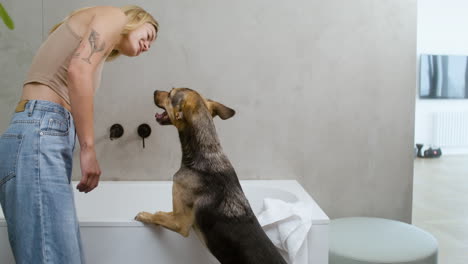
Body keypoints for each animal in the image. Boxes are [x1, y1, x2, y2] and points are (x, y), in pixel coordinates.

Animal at [133, 87, 284, 262]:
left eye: (170, 94)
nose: (155, 91)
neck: (206, 151)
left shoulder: (180, 222)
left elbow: (158, 214)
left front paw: (144, 215)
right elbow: (162, 213)